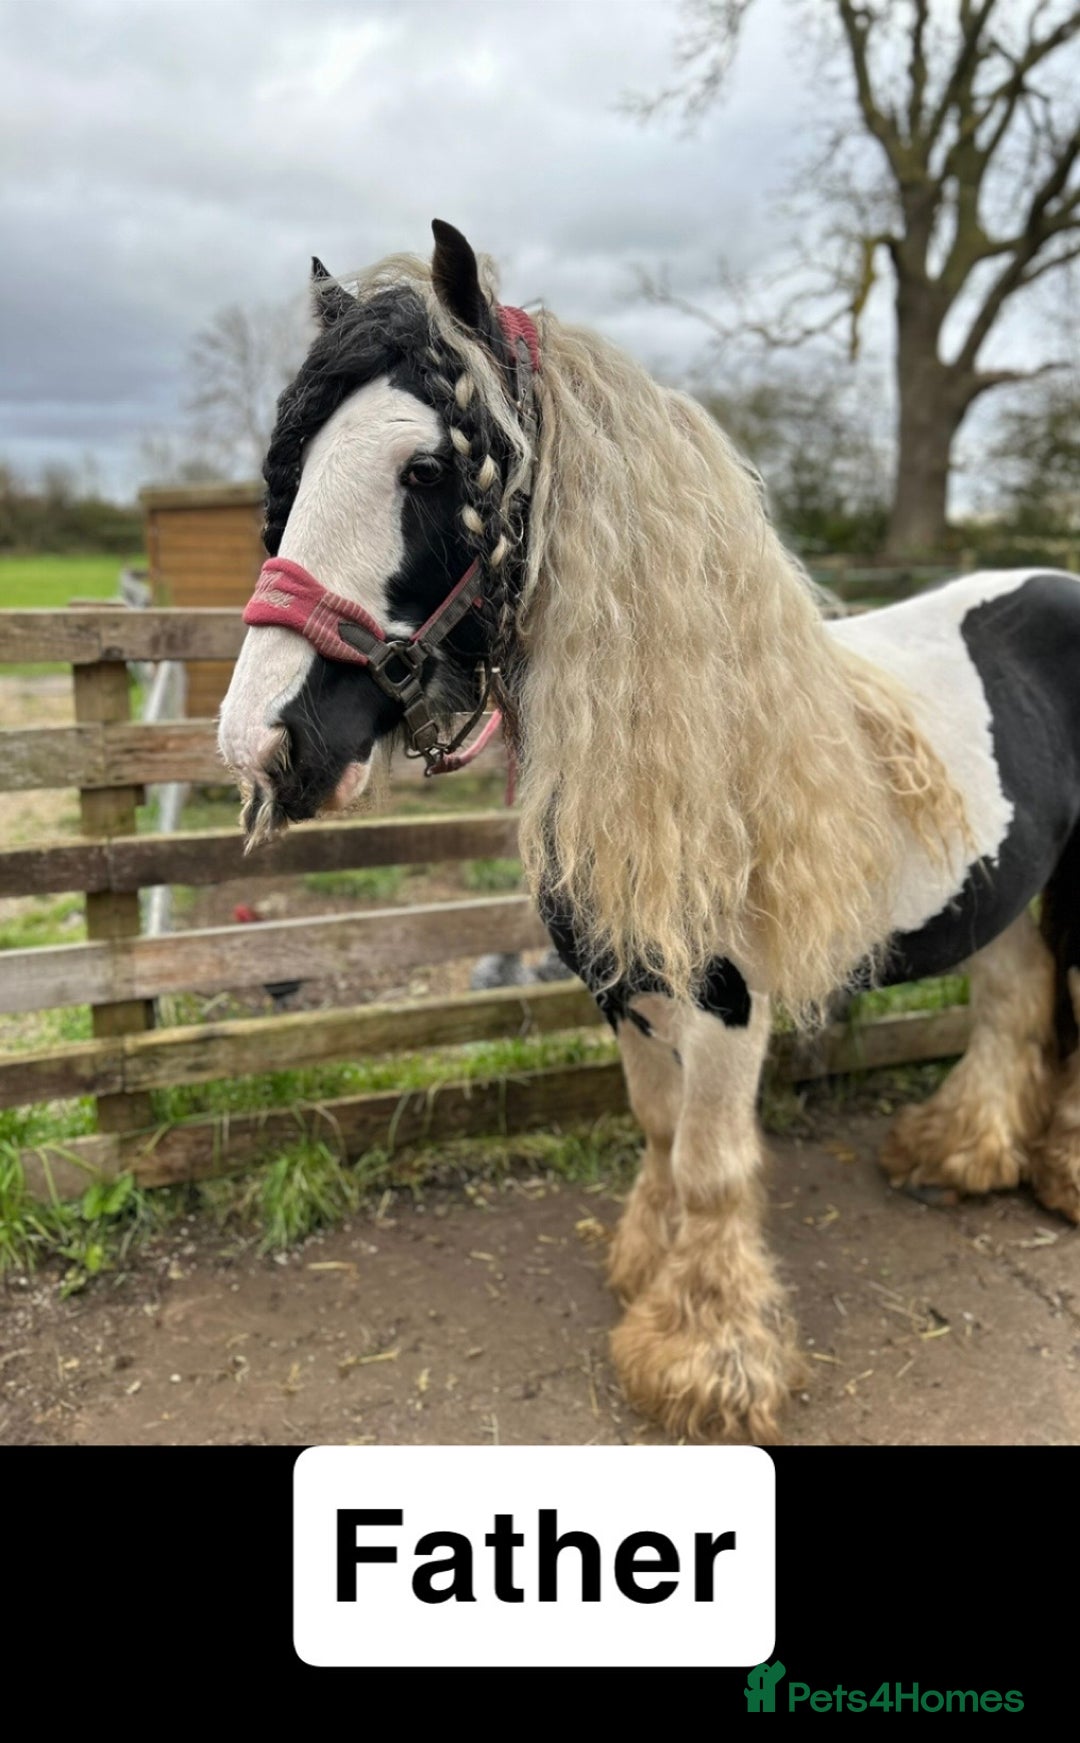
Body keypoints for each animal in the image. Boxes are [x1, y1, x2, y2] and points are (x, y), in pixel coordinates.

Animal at [218, 221, 1080, 1443]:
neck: (702, 754)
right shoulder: (622, 987)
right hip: (1007, 890)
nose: (261, 742)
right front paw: (644, 1272)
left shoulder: (727, 1005)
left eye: (427, 469)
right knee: (1011, 999)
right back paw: (960, 1153)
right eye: (289, 474)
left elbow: (712, 1163)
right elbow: (660, 1132)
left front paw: (709, 1361)